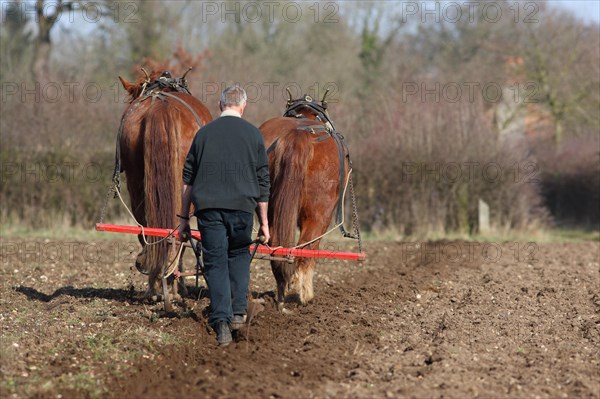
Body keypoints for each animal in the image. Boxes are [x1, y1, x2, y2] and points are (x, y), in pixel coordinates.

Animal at [118, 70, 213, 304]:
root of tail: (161, 106)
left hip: (137, 184)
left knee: (148, 229)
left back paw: (156, 284)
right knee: (178, 232)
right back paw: (170, 282)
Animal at [258, 94, 352, 306]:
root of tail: (297, 135)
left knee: (276, 243)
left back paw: (282, 290)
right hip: (320, 212)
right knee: (307, 247)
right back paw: (305, 294)